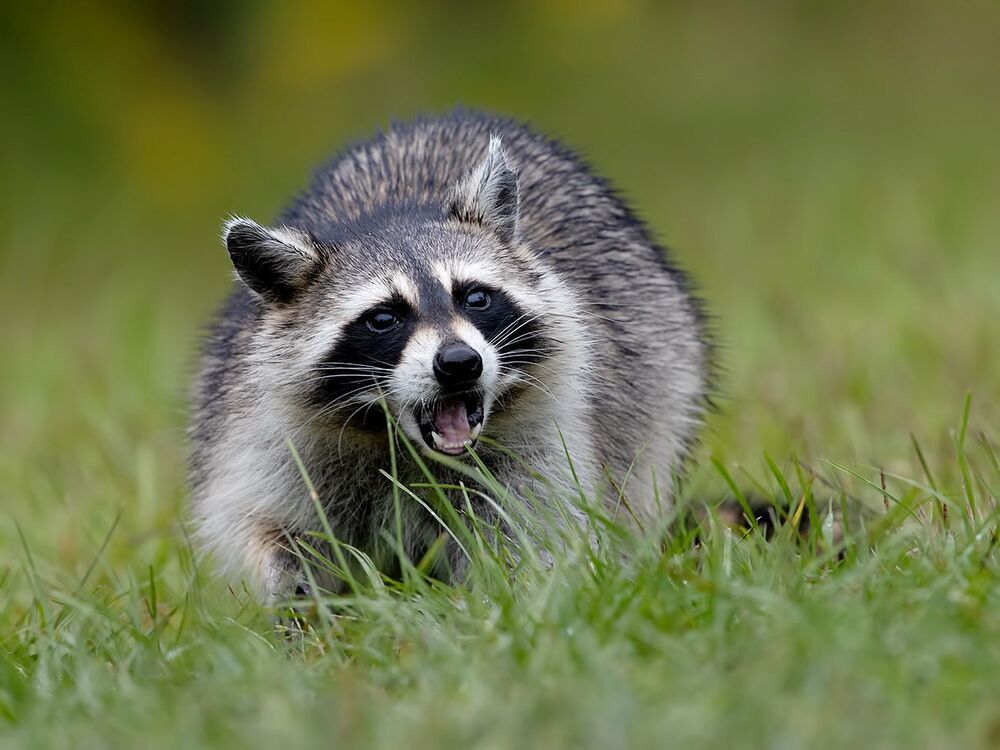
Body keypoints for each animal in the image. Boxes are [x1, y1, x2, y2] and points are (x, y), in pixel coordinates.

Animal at [189, 110, 709, 601]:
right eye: (384, 318)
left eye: (475, 297)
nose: (460, 363)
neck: (402, 443)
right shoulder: (269, 438)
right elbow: (264, 525)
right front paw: (285, 577)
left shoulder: (543, 436)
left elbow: (530, 535)